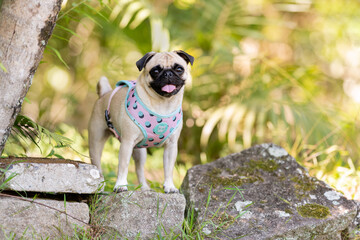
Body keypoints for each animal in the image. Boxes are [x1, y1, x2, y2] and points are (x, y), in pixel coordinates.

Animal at [88, 50, 193, 193]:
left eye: (179, 69)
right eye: (155, 71)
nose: (168, 73)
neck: (163, 104)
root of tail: (105, 94)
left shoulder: (171, 147)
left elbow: (168, 169)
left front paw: (169, 186)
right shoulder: (127, 143)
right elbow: (123, 166)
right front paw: (120, 185)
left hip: (140, 152)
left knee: (139, 169)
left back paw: (144, 187)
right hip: (96, 143)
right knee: (97, 165)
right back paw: (100, 186)